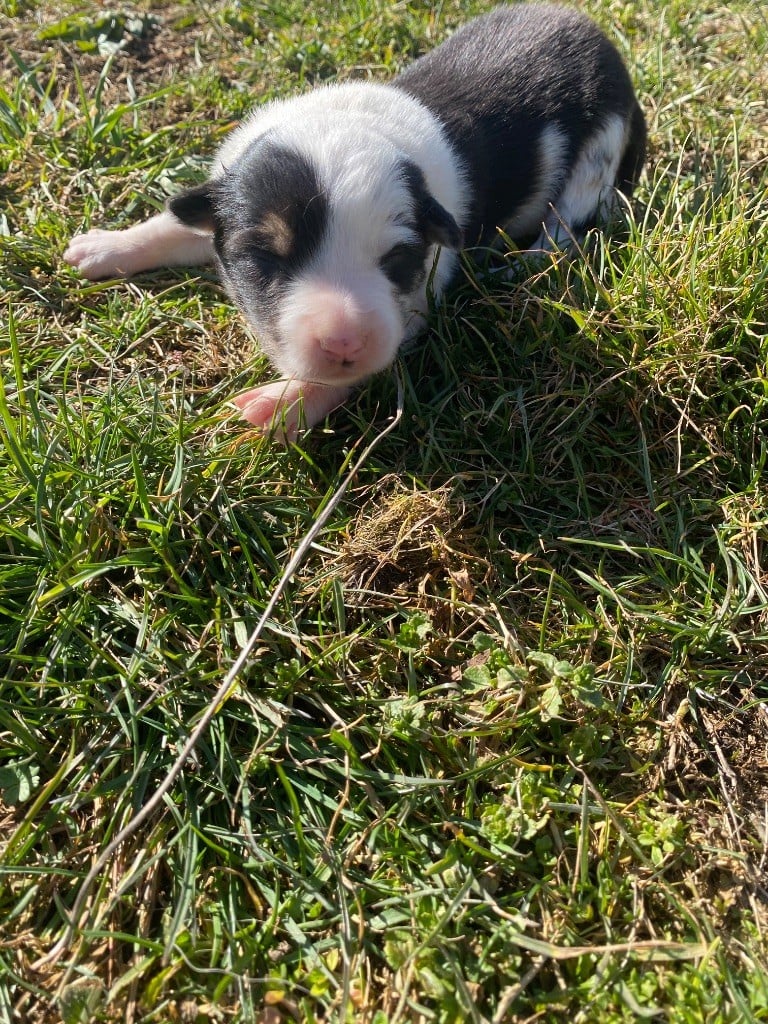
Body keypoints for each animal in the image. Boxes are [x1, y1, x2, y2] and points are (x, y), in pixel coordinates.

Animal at [66, 3, 647, 436]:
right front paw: (101, 247)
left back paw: (521, 266)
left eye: (397, 258)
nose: (344, 342)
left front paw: (280, 404)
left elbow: (367, 363)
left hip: (601, 149)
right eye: (264, 258)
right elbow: (175, 223)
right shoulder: (221, 195)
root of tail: (601, 38)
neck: (341, 122)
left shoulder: (417, 296)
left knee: (566, 229)